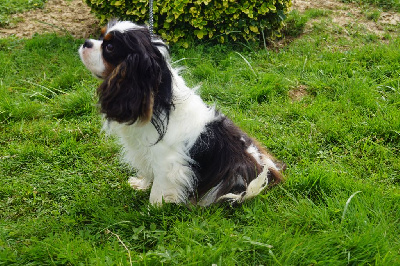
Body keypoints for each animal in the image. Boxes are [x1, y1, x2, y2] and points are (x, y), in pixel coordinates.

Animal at [79, 20, 284, 207]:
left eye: (109, 47)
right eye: (100, 36)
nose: (85, 43)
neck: (156, 98)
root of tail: (262, 166)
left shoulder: (168, 162)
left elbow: (158, 189)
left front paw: (152, 210)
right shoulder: (144, 150)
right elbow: (148, 171)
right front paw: (141, 184)